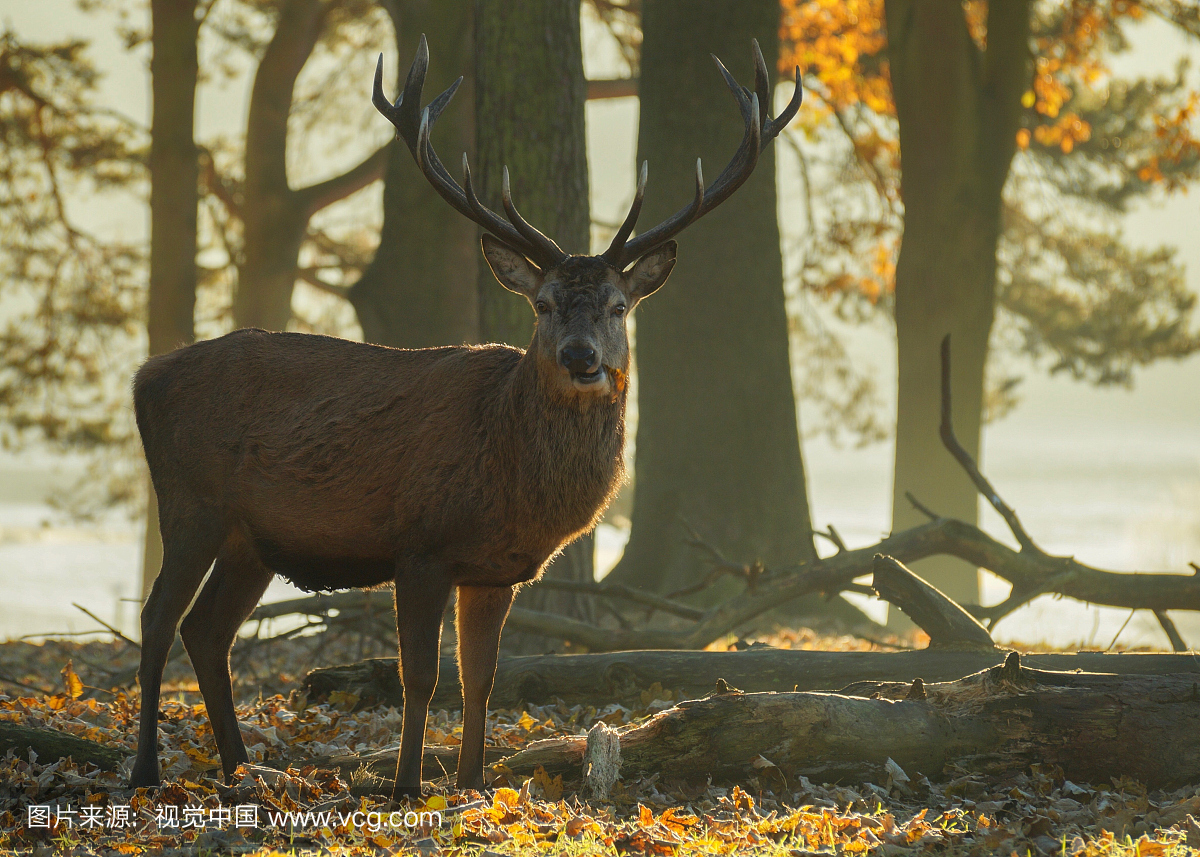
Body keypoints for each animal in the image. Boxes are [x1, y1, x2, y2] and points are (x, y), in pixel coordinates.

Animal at [129, 33, 796, 792]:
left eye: (619, 305)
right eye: (543, 303)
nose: (580, 356)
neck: (510, 480)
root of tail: (145, 376)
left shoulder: (495, 569)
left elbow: (482, 678)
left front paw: (473, 781)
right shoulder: (419, 543)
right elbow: (420, 675)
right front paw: (406, 786)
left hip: (252, 538)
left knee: (207, 630)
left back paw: (244, 768)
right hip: (191, 501)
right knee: (157, 619)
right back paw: (147, 769)